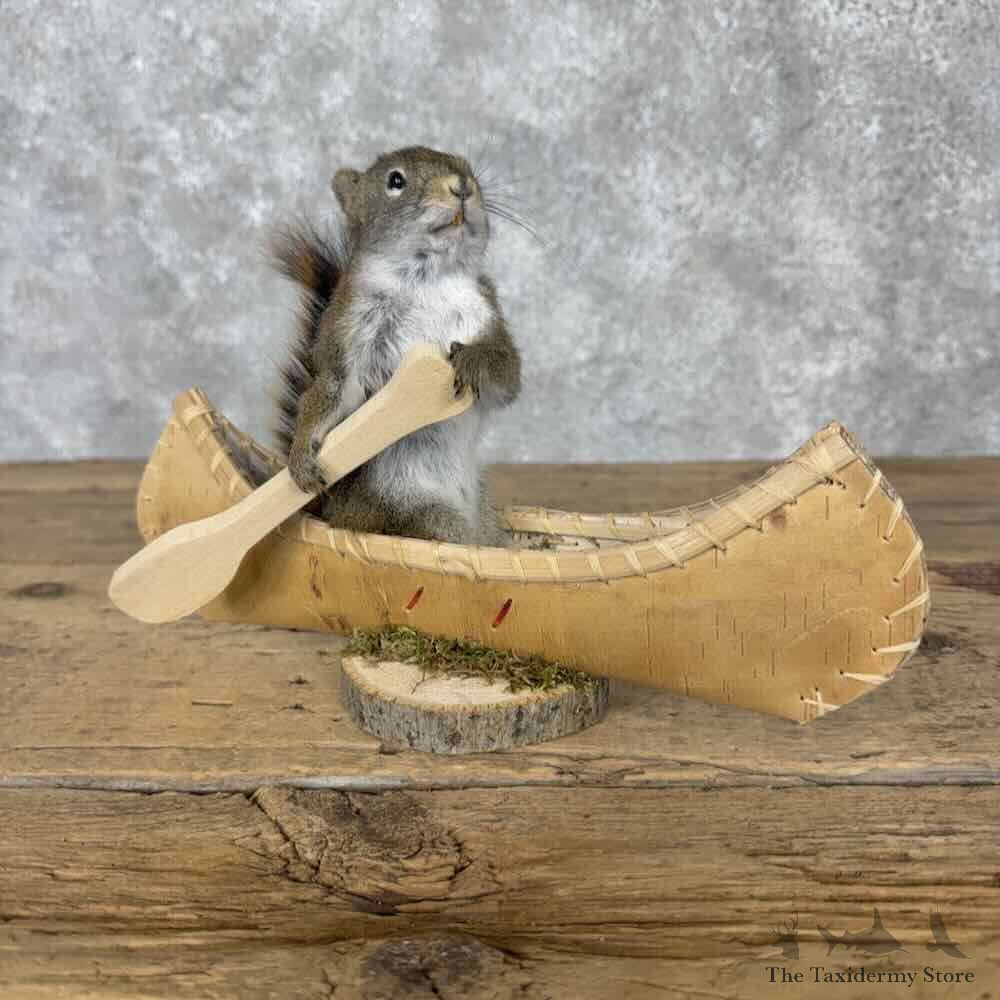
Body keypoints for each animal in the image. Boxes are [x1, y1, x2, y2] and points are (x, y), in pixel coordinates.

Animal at [271, 146, 522, 546]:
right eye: (396, 181)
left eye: (466, 166)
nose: (462, 186)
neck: (427, 278)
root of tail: (335, 513)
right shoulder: (347, 334)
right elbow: (331, 389)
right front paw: (301, 455)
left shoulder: (486, 310)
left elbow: (507, 376)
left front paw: (471, 359)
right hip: (415, 515)